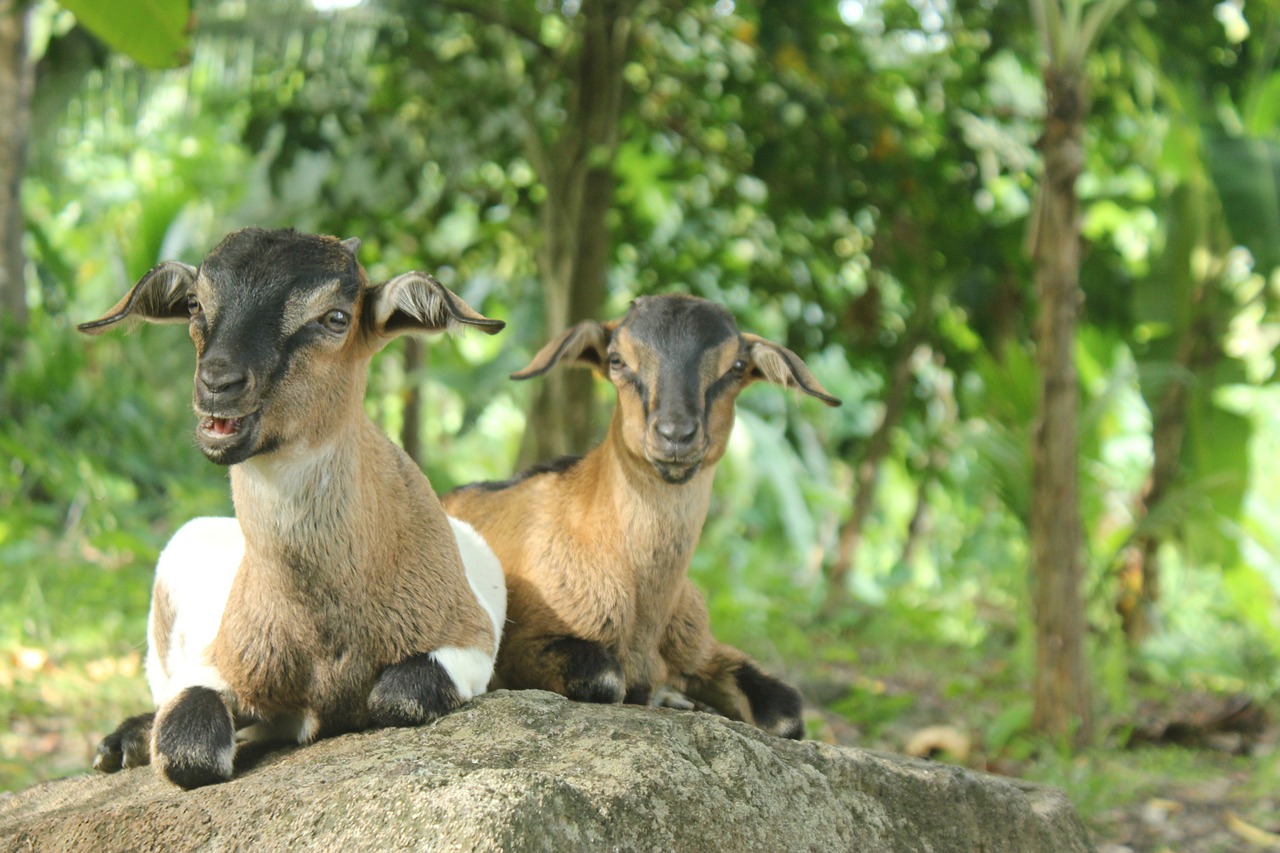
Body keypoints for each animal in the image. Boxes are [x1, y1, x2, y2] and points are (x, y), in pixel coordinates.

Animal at [78, 227, 509, 783]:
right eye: (195, 303)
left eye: (336, 318)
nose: (218, 383)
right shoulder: (218, 661)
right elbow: (188, 747)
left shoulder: (468, 640)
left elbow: (398, 696)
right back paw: (121, 744)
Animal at [445, 292, 844, 737]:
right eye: (617, 360)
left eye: (737, 367)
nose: (675, 434)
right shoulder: (525, 644)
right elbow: (605, 678)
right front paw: (666, 695)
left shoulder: (701, 648)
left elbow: (786, 709)